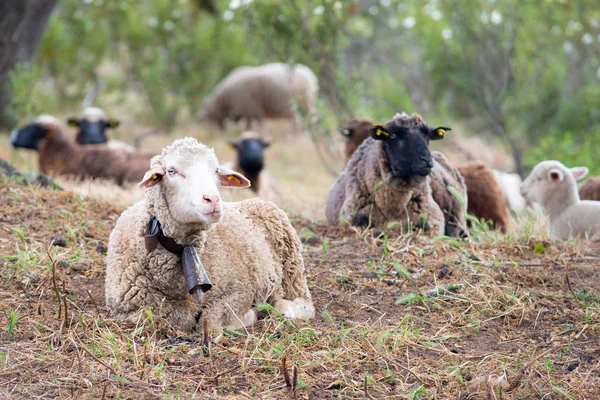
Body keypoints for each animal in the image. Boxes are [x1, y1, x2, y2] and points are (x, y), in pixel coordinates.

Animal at [104, 138, 314, 332]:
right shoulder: (130, 310)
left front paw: (251, 314)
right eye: (171, 171)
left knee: (303, 305)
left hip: (292, 270)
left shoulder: (241, 290)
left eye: (216, 170)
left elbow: (210, 320)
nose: (212, 199)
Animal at [326, 111, 466, 238]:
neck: (392, 208)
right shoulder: (349, 220)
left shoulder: (433, 219)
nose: (426, 160)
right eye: (393, 135)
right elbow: (373, 231)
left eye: (427, 136)